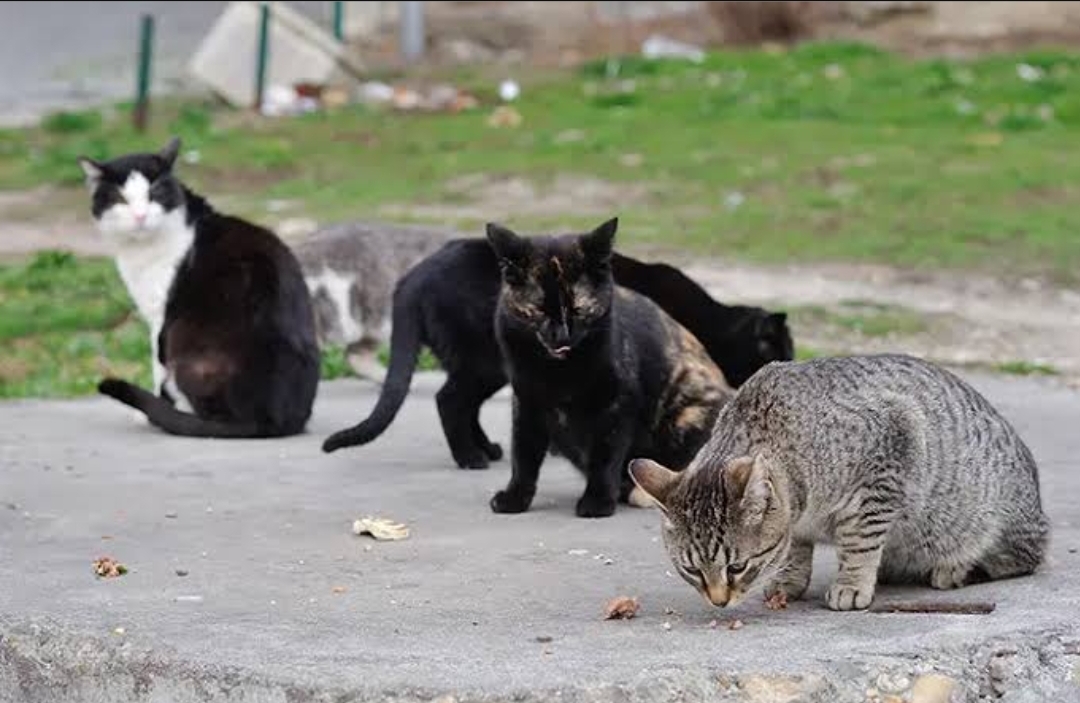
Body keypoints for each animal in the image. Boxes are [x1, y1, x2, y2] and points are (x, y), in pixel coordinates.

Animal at [78, 136, 319, 440]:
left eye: (154, 193)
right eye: (121, 199)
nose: (141, 216)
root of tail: (269, 419)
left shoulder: (161, 317)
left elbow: (157, 365)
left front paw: (151, 412)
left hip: (186, 347)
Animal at [630, 354, 1049, 613]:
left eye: (736, 567)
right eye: (692, 570)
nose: (719, 601)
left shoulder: (888, 455)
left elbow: (860, 541)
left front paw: (851, 582)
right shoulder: (796, 523)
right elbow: (795, 550)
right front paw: (787, 578)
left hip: (995, 523)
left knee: (1019, 559)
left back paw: (956, 569)